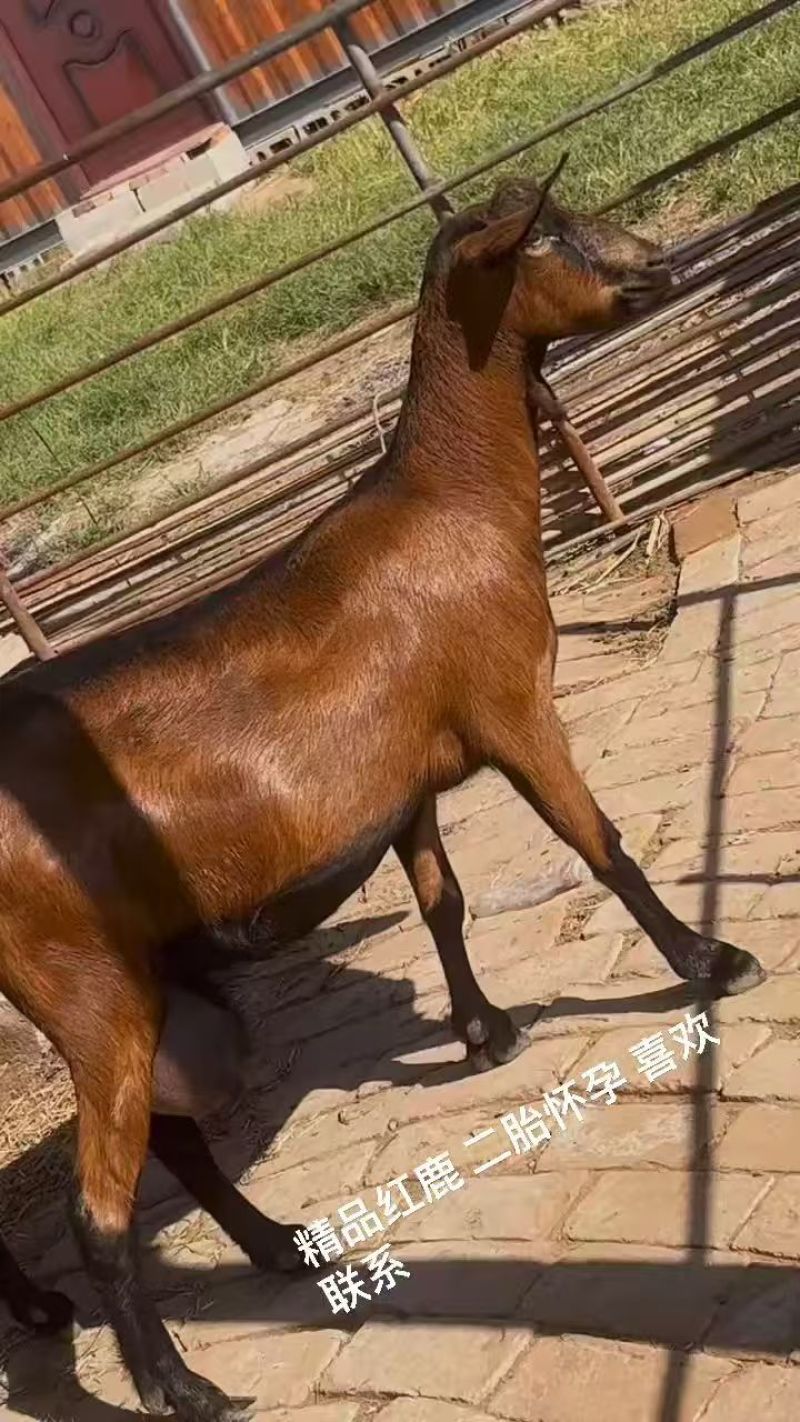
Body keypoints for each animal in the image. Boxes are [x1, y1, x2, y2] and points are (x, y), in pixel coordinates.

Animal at [0, 161, 765, 1420]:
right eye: (546, 237)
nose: (660, 262)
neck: (447, 502)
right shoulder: (511, 705)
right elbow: (597, 842)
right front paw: (710, 961)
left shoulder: (406, 778)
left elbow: (441, 897)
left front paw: (484, 1032)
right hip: (84, 985)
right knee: (98, 1207)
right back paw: (180, 1384)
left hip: (128, 980)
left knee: (172, 1138)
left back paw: (266, 1249)